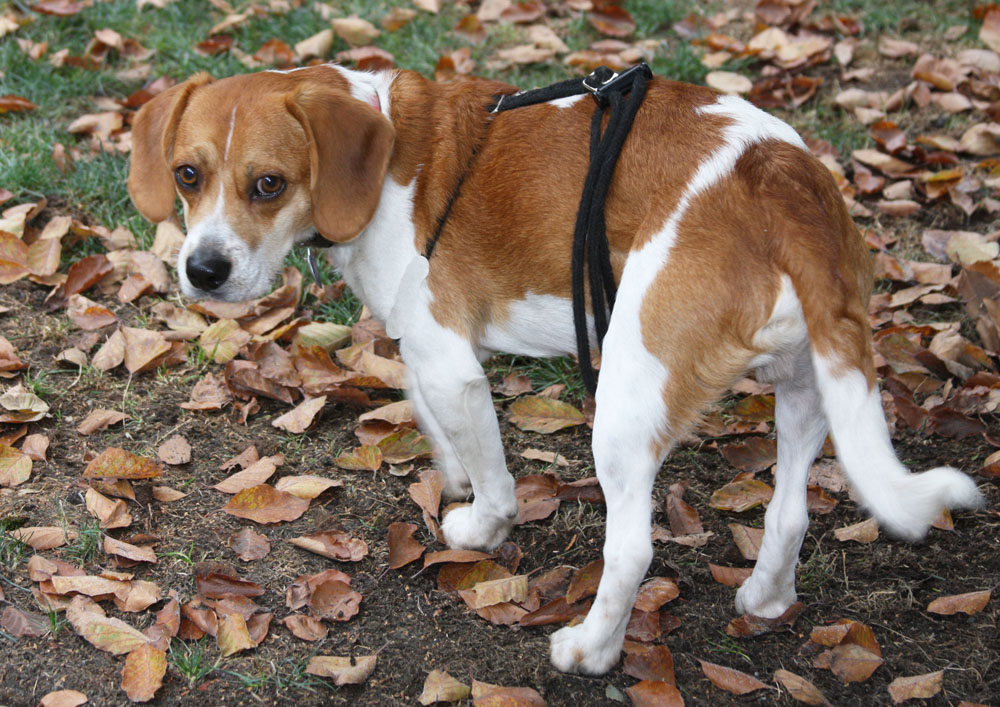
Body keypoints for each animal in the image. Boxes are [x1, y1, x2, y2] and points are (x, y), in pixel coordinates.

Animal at [127, 65, 984, 676]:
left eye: (268, 184)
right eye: (188, 175)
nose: (201, 271)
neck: (387, 141)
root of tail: (778, 174)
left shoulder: (448, 359)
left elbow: (489, 469)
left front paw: (481, 523)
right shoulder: (425, 349)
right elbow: (428, 415)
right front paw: (451, 471)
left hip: (627, 402)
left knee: (631, 550)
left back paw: (590, 649)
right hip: (811, 385)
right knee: (790, 511)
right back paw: (767, 596)